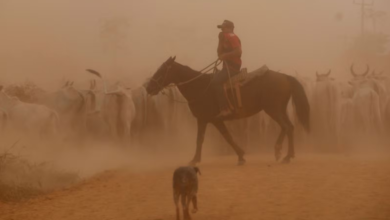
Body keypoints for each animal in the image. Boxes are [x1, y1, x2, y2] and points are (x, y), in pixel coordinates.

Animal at [145, 57, 310, 164]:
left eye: (162, 70)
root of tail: (285, 77)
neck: (200, 86)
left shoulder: (209, 119)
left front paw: (195, 160)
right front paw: (240, 156)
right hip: (278, 110)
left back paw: (283, 154)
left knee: (286, 127)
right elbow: (216, 137)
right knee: (289, 127)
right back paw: (284, 153)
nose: (148, 87)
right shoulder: (209, 120)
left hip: (273, 109)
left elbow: (214, 138)